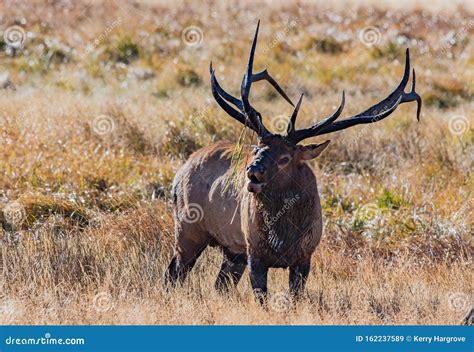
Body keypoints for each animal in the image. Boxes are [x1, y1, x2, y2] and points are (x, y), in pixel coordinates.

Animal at [164, 22, 422, 302]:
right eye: (256, 148)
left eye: (285, 158)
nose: (253, 172)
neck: (285, 237)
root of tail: (179, 174)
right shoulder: (255, 253)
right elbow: (262, 298)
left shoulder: (304, 256)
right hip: (188, 229)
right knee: (173, 273)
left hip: (231, 250)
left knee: (219, 283)